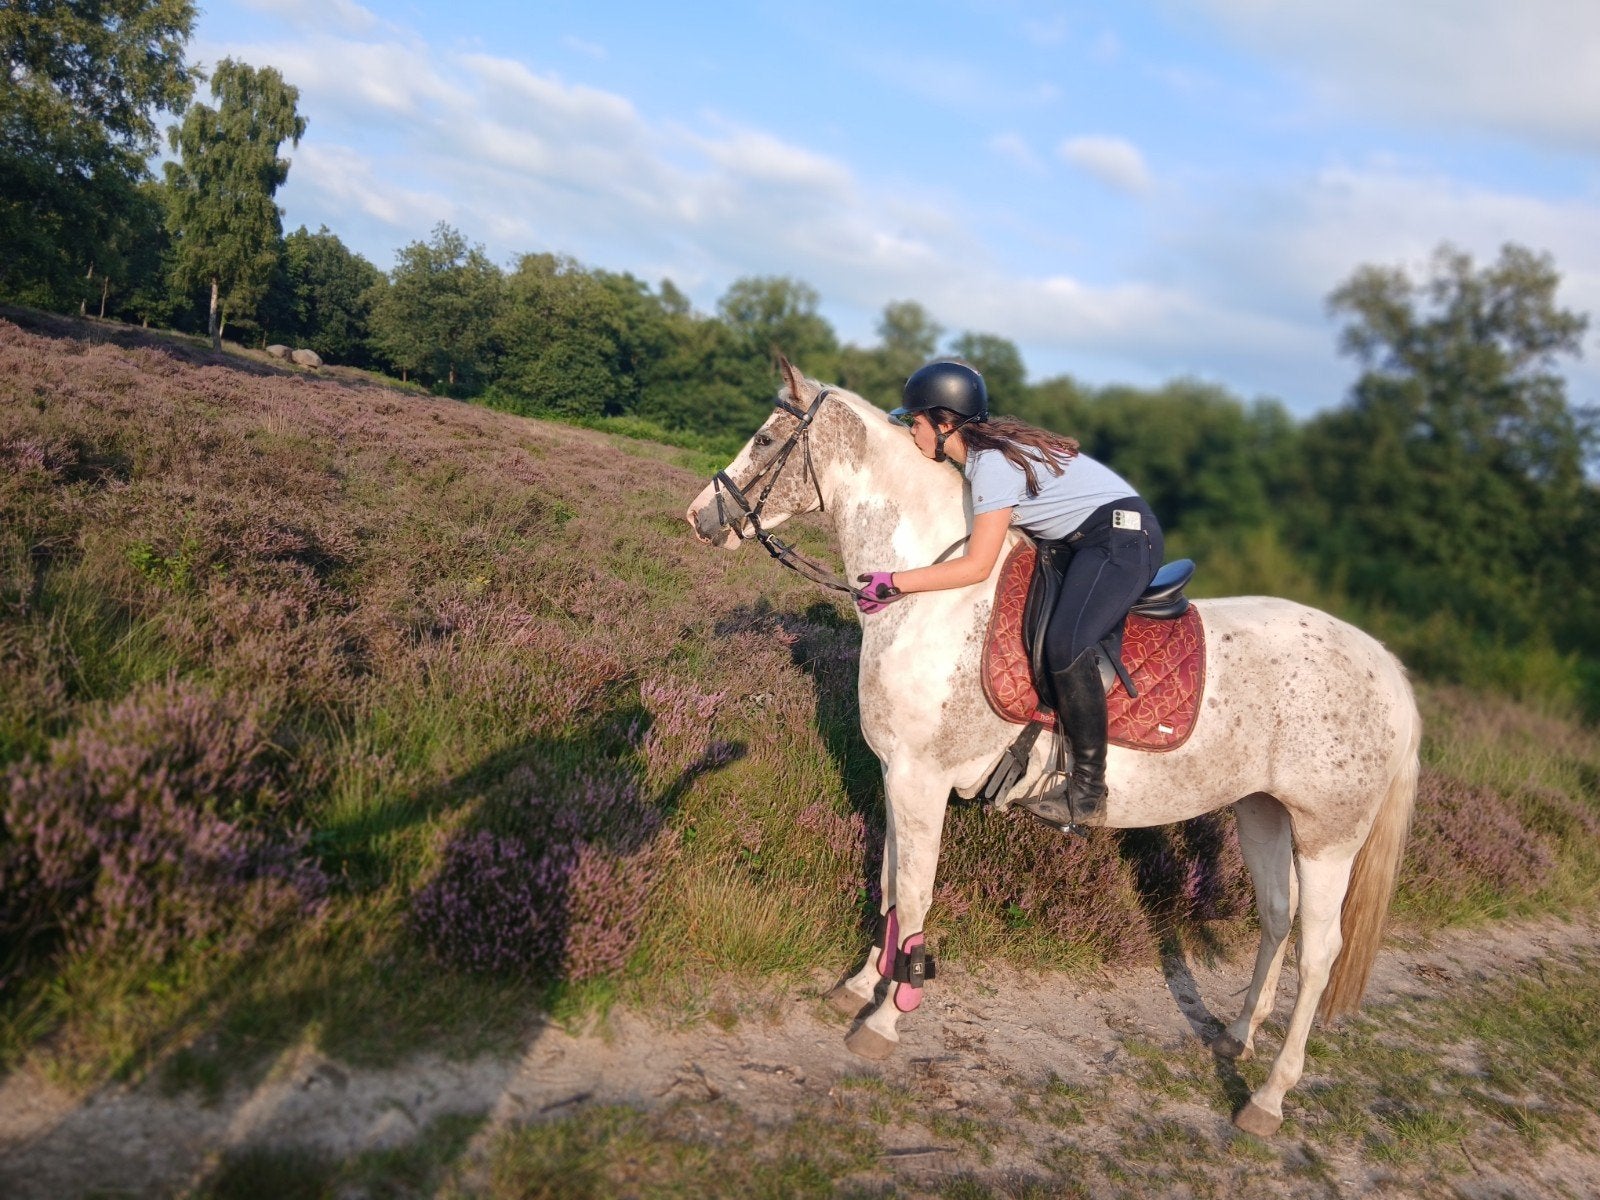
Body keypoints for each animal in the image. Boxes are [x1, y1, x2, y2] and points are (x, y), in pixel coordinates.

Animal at [685, 360, 1420, 1137]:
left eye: (767, 439)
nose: (699, 517)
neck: (932, 594)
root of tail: (1385, 667)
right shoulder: (896, 776)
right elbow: (889, 887)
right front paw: (859, 985)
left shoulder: (921, 780)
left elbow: (913, 897)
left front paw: (885, 1019)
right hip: (1263, 813)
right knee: (1277, 919)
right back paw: (1238, 1037)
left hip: (1329, 838)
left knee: (1318, 952)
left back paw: (1269, 1098)